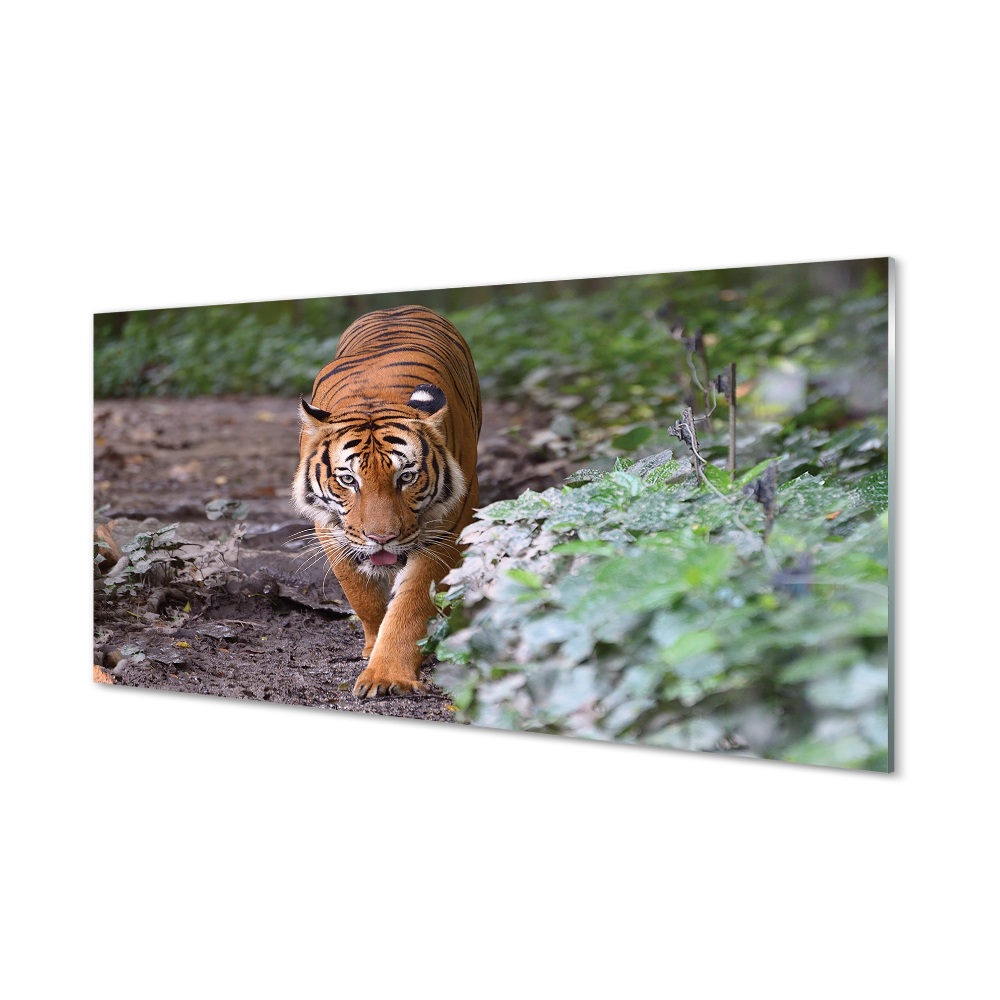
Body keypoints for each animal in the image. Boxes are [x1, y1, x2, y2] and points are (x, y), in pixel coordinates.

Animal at [291, 305, 482, 698]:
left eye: (406, 477)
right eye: (348, 479)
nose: (382, 538)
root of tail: (398, 307)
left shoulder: (446, 529)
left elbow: (411, 604)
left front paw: (388, 674)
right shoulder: (330, 529)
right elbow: (361, 594)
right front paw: (372, 645)